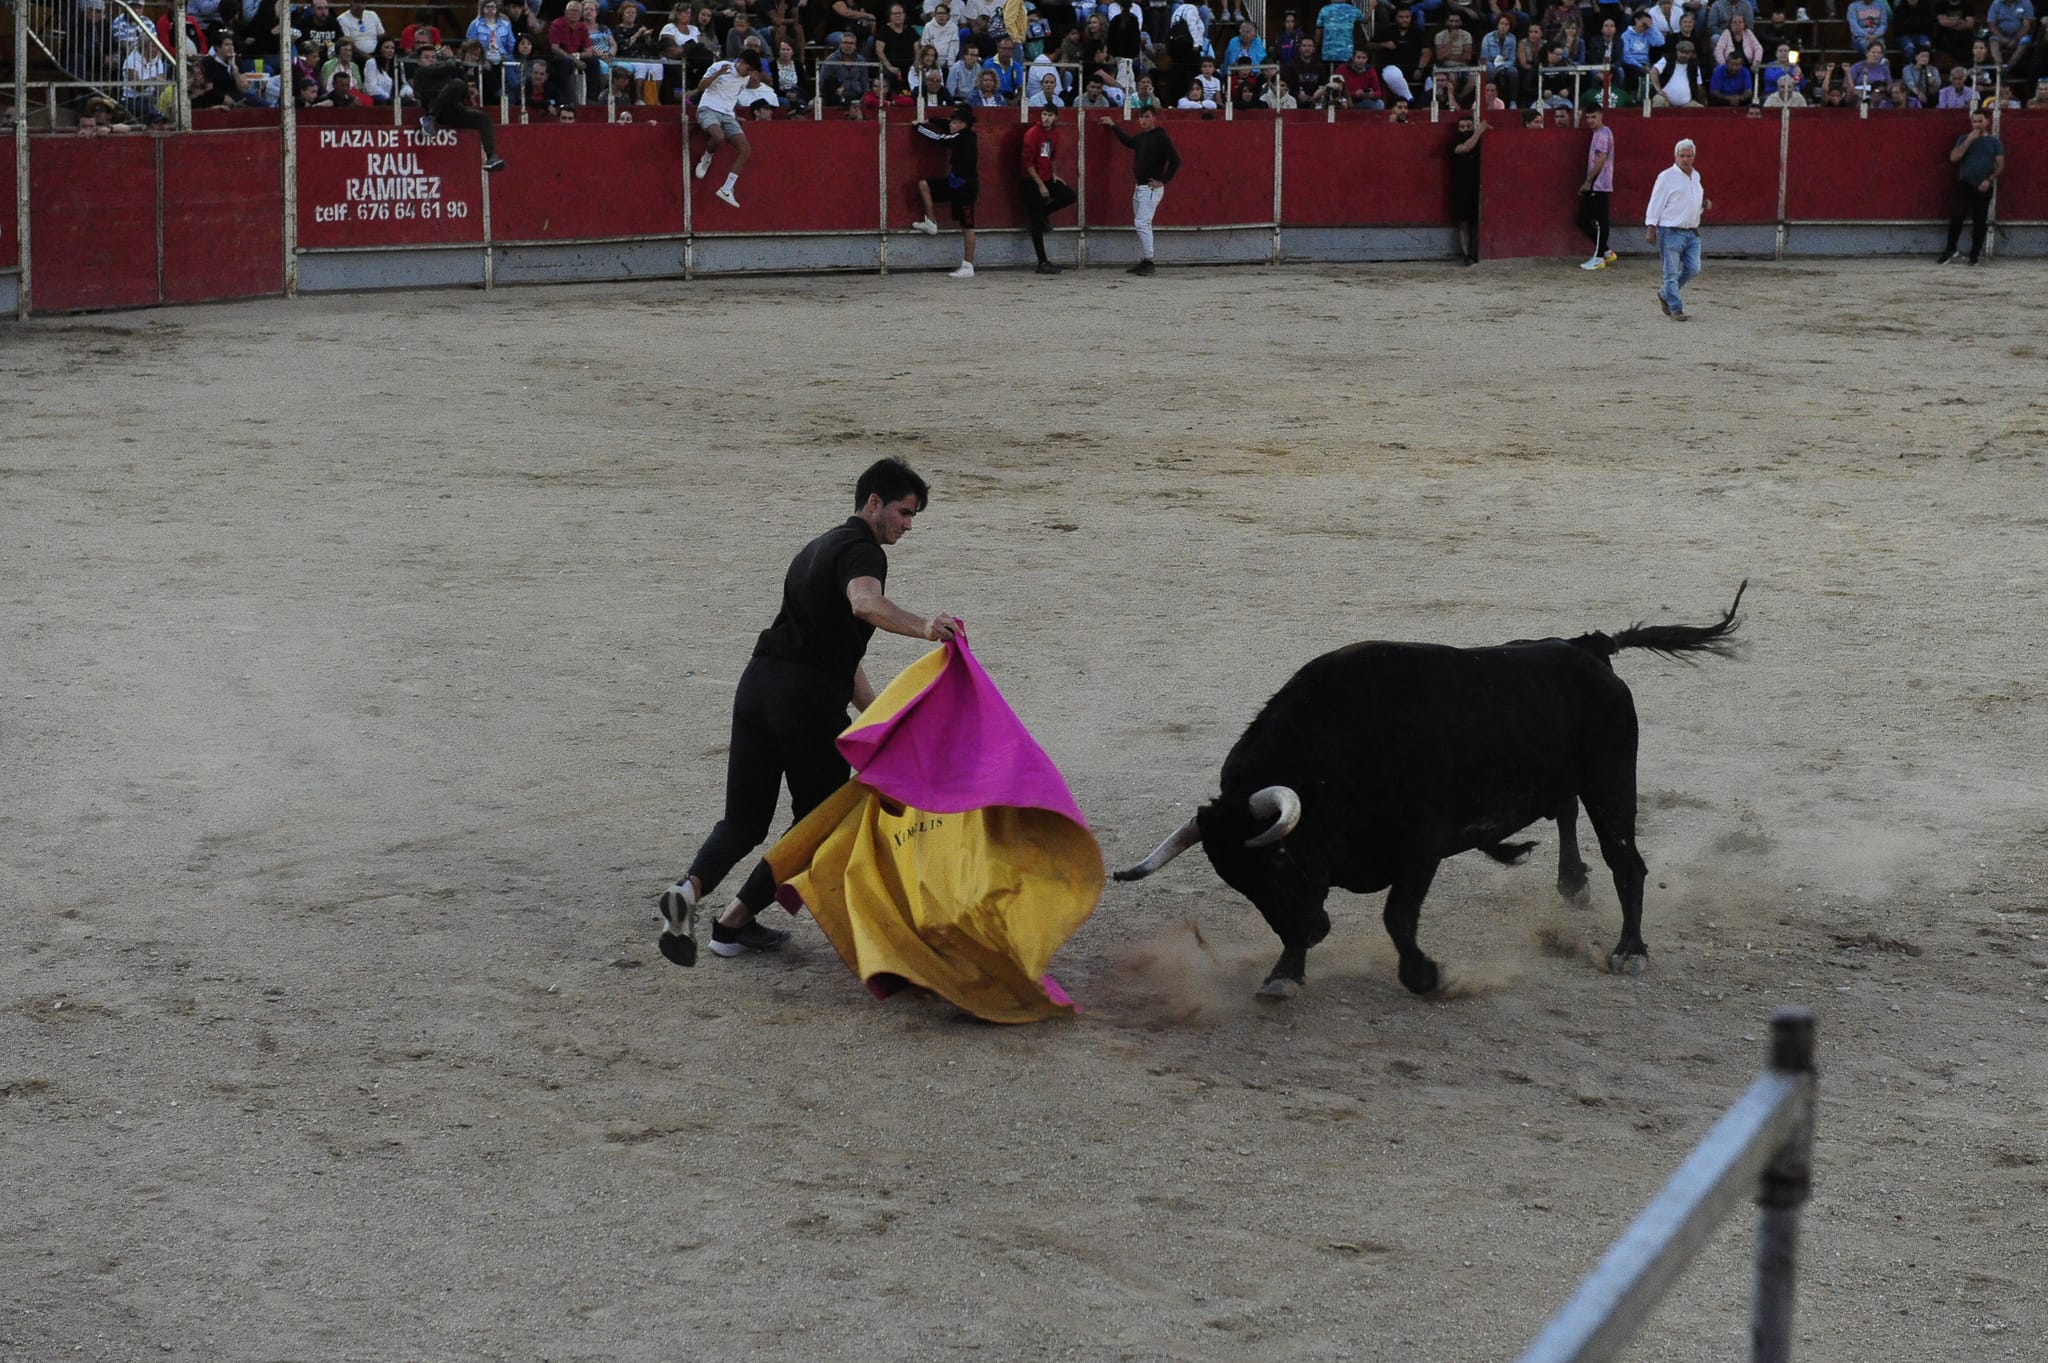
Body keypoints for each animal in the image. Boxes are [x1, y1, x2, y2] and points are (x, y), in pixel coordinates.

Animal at [1114, 583, 1746, 999]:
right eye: (1239, 884)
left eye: (1277, 861)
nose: (1312, 934)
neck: (1329, 765)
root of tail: (1587, 646)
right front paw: (1284, 975)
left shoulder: (1421, 847)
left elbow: (1397, 917)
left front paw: (1426, 977)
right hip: (1564, 777)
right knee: (1565, 813)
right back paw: (1571, 883)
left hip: (1610, 779)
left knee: (1626, 861)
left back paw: (1629, 951)